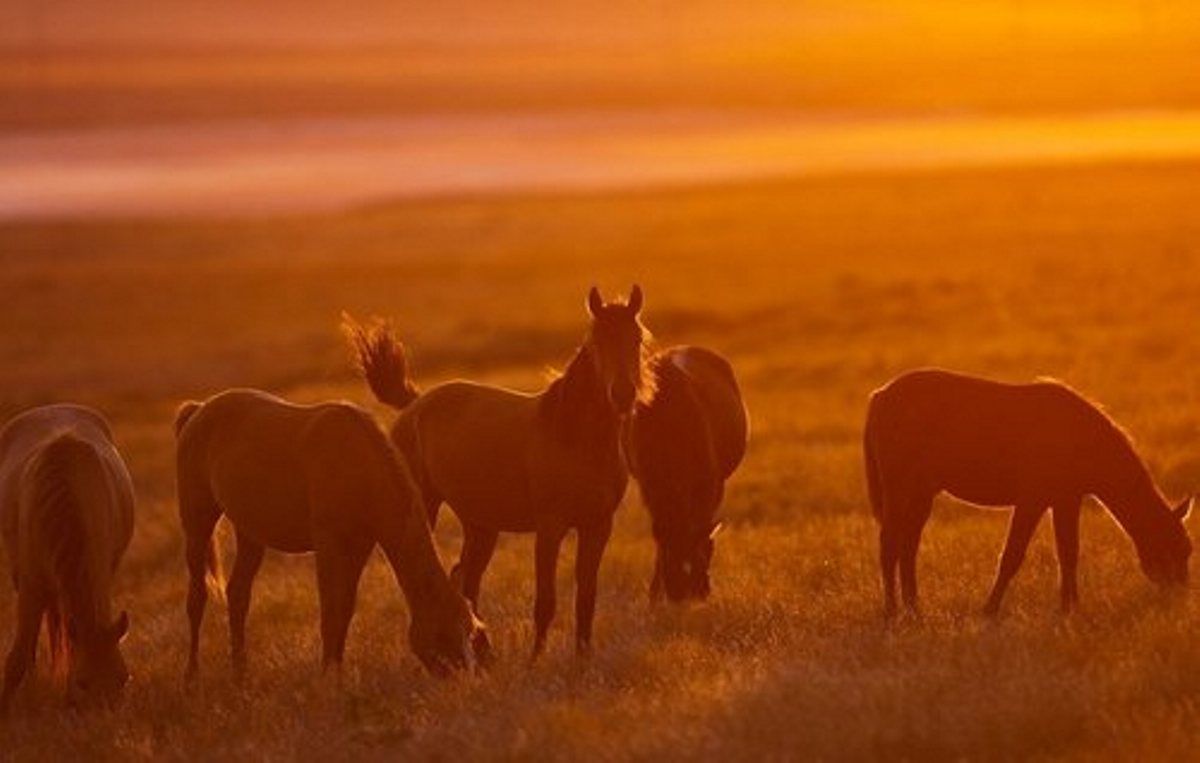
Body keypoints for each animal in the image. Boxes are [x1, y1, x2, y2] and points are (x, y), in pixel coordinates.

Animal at [0, 405, 133, 710]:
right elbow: (17, 658)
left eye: (123, 679)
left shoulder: (101, 572)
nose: (104, 717)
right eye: (83, 683)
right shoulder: (31, 584)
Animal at [170, 391, 487, 676]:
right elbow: (330, 612)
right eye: (444, 633)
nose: (464, 679)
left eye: (471, 631)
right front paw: (327, 677)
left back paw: (240, 671)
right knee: (197, 596)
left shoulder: (359, 546)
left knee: (238, 594)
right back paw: (192, 674)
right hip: (197, 524)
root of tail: (198, 409)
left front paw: (336, 668)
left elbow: (344, 609)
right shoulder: (329, 545)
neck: (358, 467)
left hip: (250, 533)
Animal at [348, 285, 648, 657]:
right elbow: (545, 601)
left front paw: (582, 658)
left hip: (481, 526)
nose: (622, 395)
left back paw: (483, 649)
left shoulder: (598, 526)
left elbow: (586, 598)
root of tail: (415, 404)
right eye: (596, 340)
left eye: (637, 338)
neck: (575, 439)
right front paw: (535, 660)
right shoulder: (550, 527)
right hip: (428, 506)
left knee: (465, 578)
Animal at [628, 345, 748, 602]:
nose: (683, 594)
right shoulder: (649, 486)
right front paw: (655, 594)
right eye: (670, 558)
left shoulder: (712, 484)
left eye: (703, 554)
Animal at [864, 367, 1190, 619]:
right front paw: (989, 610)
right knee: (889, 545)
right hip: (899, 488)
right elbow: (1012, 555)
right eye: (1172, 548)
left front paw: (1070, 609)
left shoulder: (1066, 500)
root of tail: (880, 396)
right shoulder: (1033, 499)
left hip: (922, 492)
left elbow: (1069, 553)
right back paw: (892, 612)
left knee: (908, 546)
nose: (1180, 599)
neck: (1081, 439)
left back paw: (914, 609)